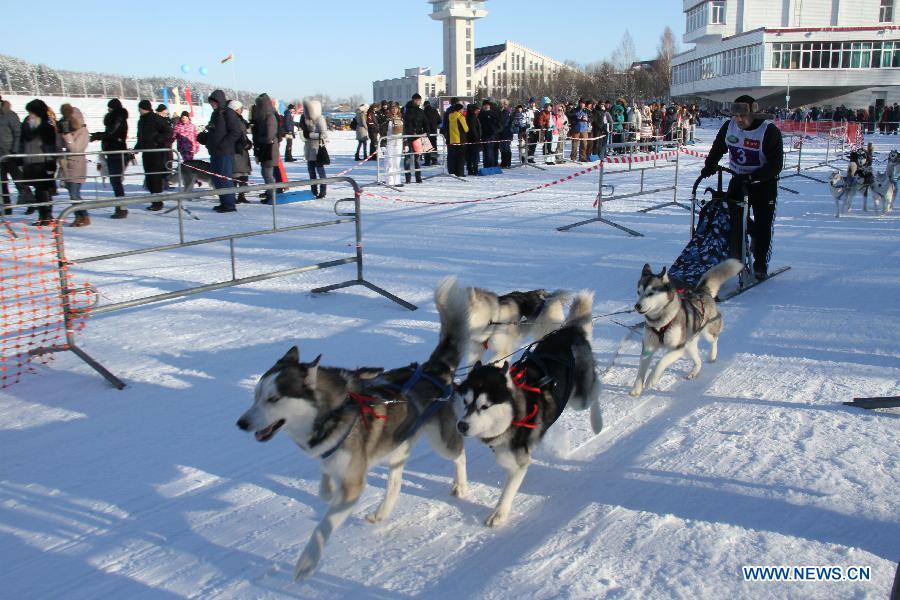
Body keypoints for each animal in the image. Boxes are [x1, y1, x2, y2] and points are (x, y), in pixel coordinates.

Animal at [236, 278, 468, 580]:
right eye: (256, 396)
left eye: (273, 399)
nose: (241, 423)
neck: (334, 412)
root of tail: (434, 369)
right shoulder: (333, 459)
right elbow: (325, 477)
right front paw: (326, 488)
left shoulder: (353, 487)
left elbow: (323, 525)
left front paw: (307, 562)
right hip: (397, 446)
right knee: (395, 483)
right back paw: (382, 512)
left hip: (442, 442)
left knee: (460, 453)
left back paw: (461, 485)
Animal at [458, 292, 596, 528]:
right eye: (466, 402)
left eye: (485, 406)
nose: (462, 425)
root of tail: (568, 331)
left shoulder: (520, 462)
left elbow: (508, 489)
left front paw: (499, 513)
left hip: (581, 397)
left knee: (595, 391)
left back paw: (598, 421)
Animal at [628, 258, 740, 396]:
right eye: (638, 292)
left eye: (650, 293)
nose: (637, 306)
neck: (660, 322)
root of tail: (701, 291)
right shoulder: (648, 348)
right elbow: (641, 370)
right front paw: (636, 389)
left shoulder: (678, 348)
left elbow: (661, 362)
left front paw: (651, 379)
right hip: (689, 344)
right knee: (698, 360)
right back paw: (694, 372)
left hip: (706, 332)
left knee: (714, 340)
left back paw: (712, 356)